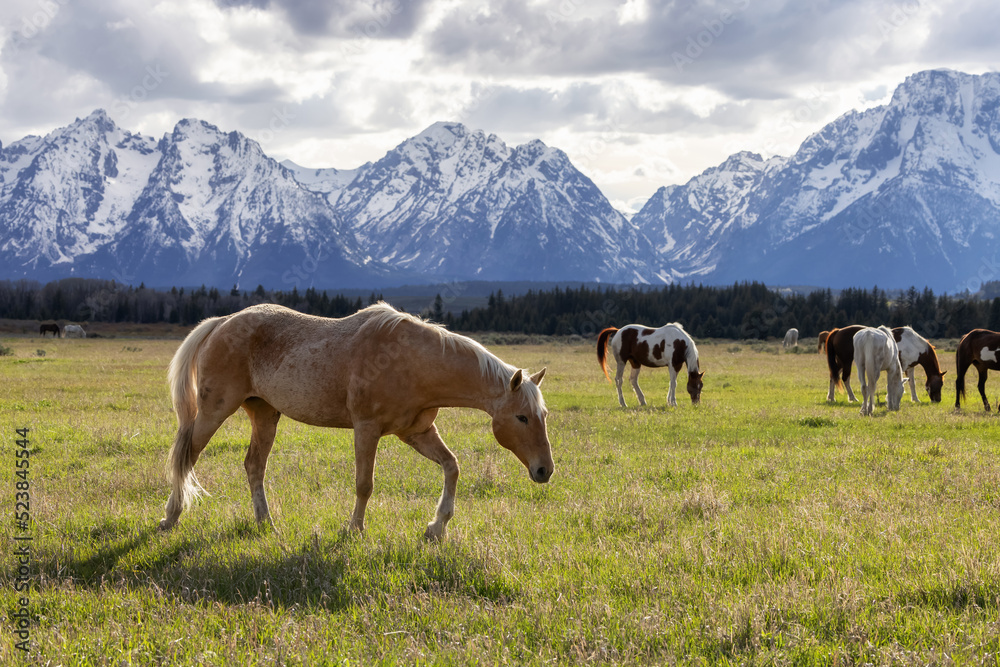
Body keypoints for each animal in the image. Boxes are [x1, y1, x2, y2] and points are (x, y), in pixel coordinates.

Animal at [159, 302, 552, 541]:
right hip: (214, 411)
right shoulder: (367, 429)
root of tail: (222, 322)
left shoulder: (417, 432)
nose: (544, 470)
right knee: (186, 459)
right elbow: (365, 484)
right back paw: (170, 518)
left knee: (254, 466)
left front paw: (436, 527)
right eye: (521, 416)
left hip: (265, 414)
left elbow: (452, 466)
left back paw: (266, 523)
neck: (414, 362)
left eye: (543, 415)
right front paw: (355, 530)